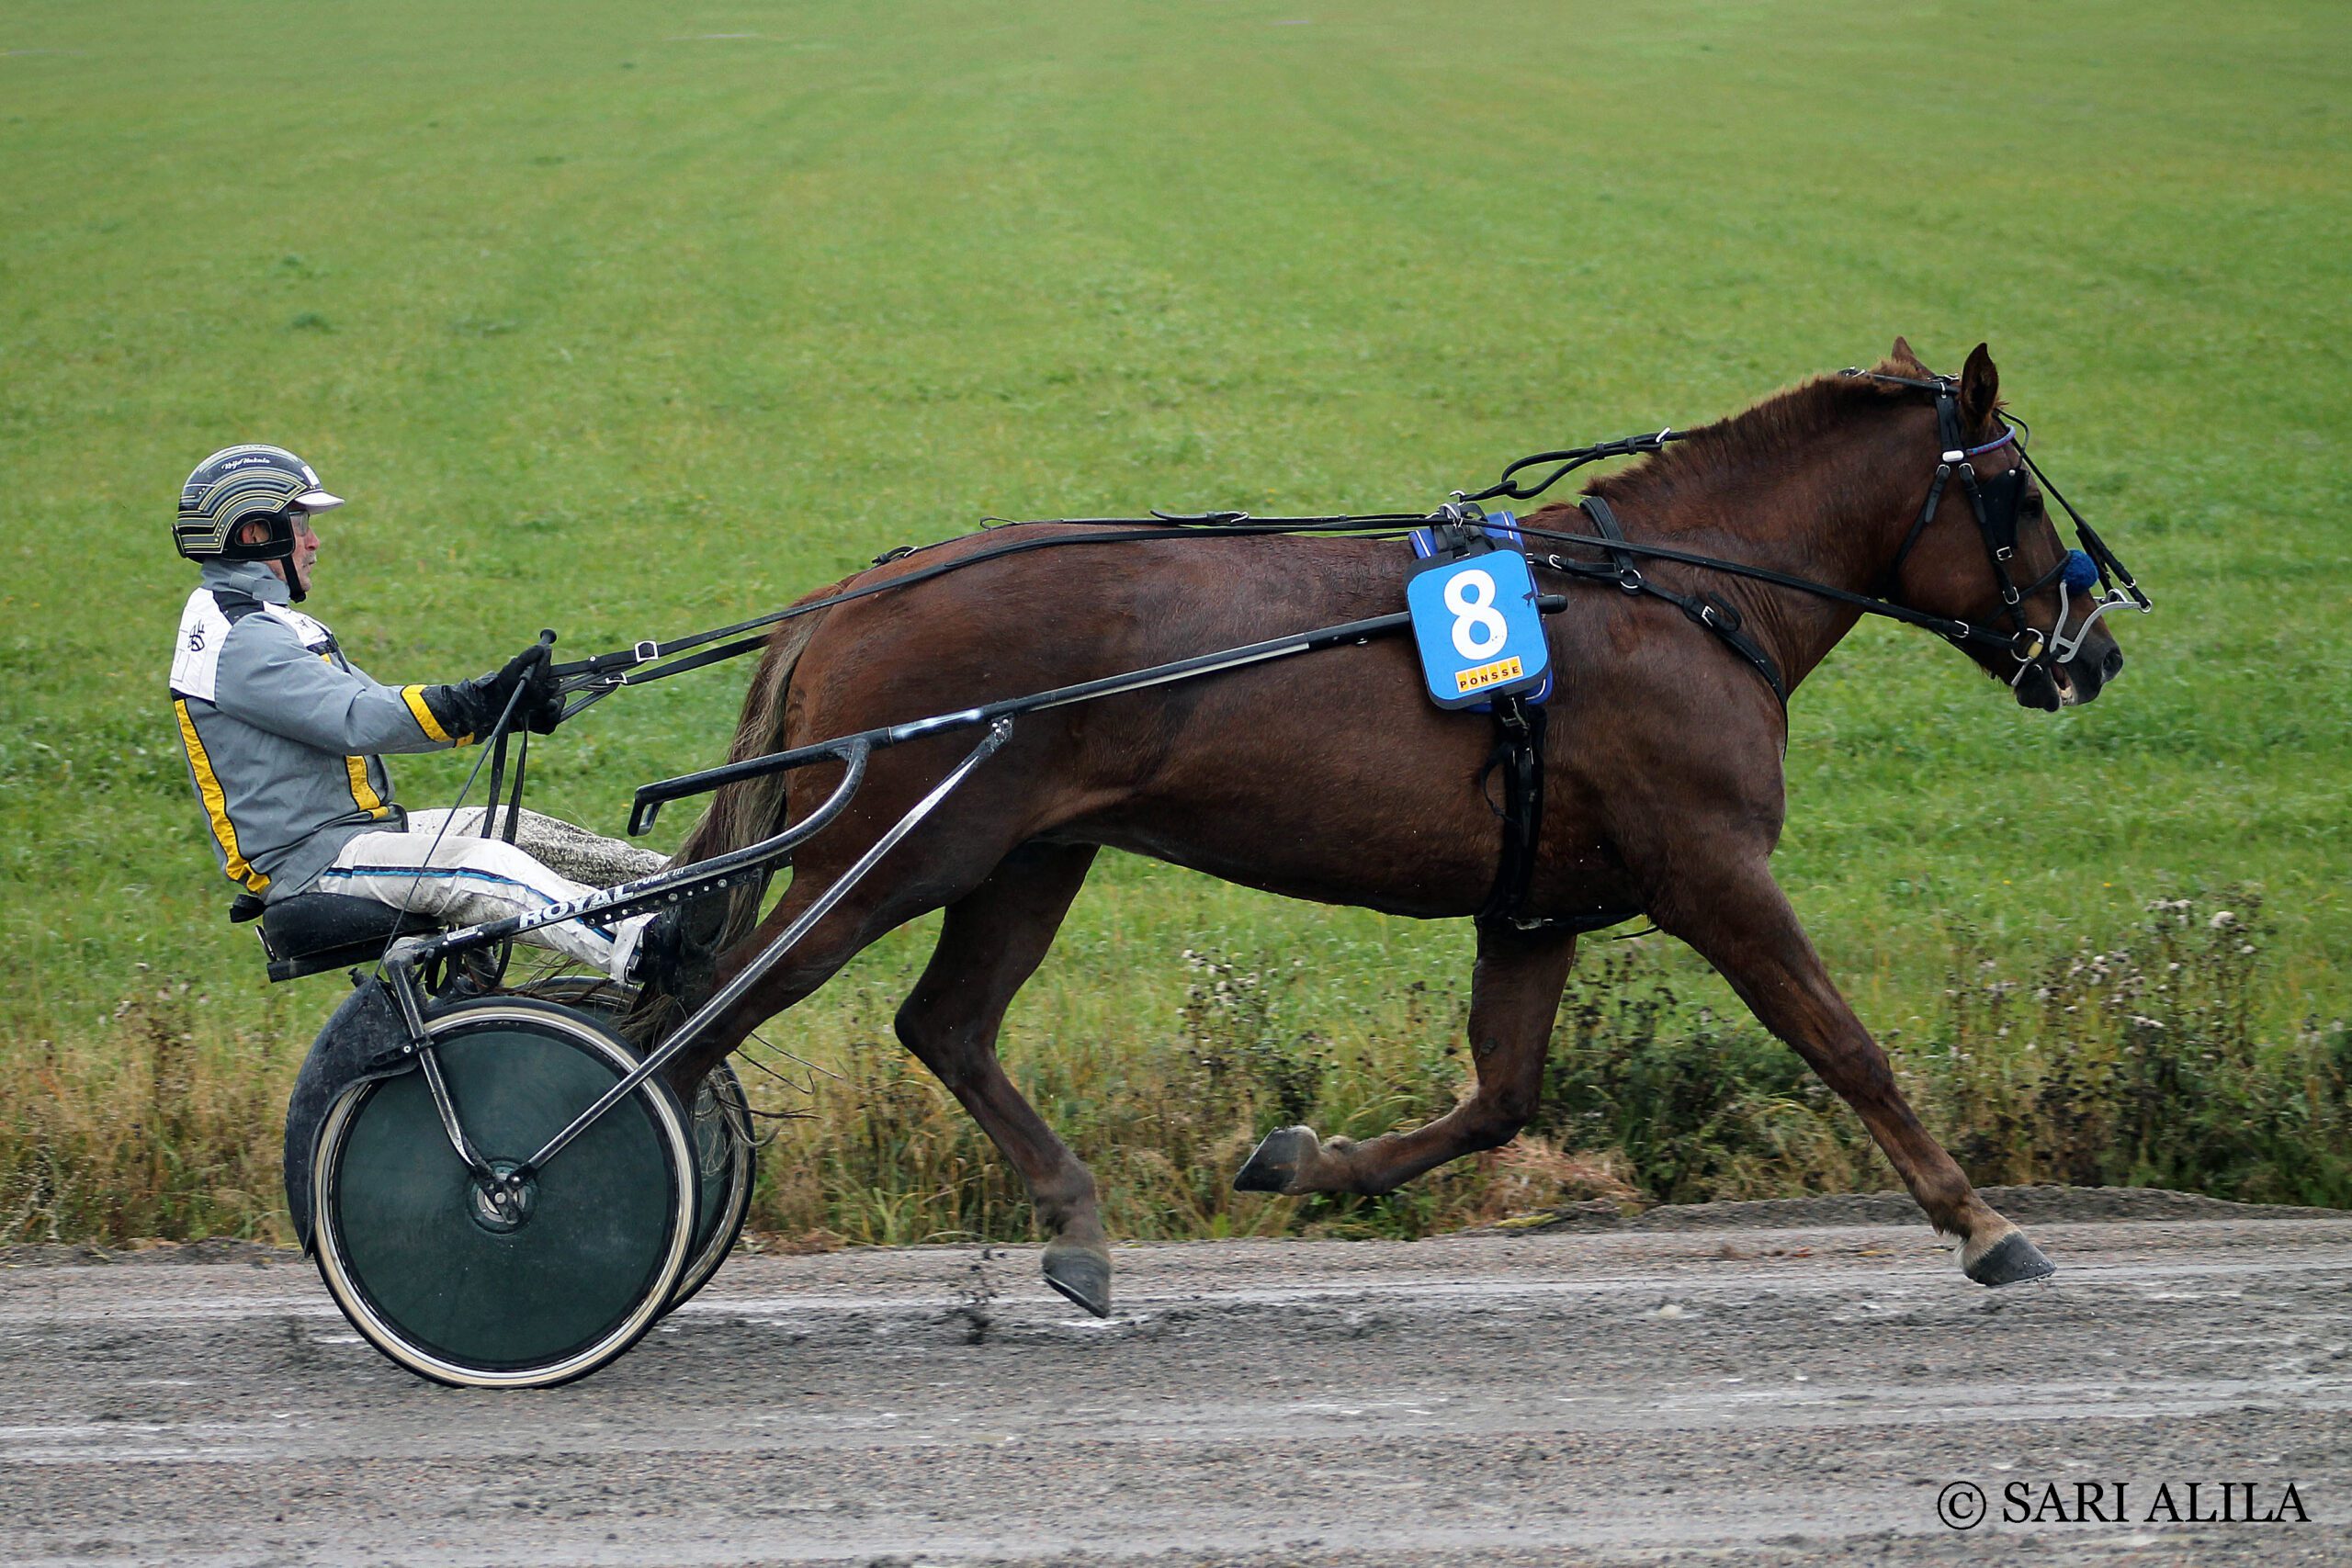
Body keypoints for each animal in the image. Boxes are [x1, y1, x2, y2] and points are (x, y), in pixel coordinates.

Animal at [637, 339, 2129, 1316]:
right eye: (2017, 490)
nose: (2096, 646)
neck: (1683, 592)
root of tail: (847, 596)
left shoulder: (1536, 903)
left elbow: (1500, 1099)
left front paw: (1305, 1159)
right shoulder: (1711, 868)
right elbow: (1848, 1047)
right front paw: (1986, 1225)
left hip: (1024, 859)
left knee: (943, 1025)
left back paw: (1076, 1223)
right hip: (892, 856)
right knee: (706, 1011)